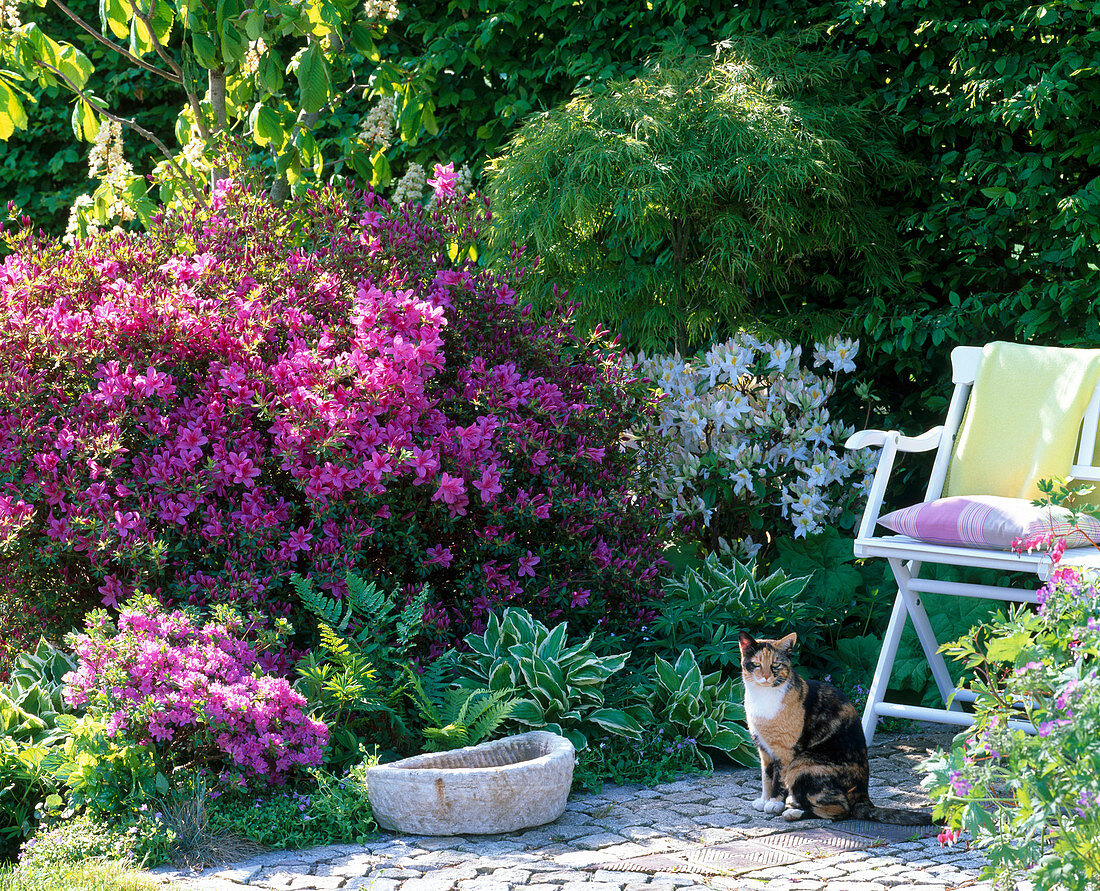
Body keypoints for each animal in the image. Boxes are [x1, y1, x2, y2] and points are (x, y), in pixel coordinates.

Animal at [743, 629, 932, 822]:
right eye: (756, 664)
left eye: (776, 664)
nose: (766, 676)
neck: (763, 697)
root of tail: (863, 797)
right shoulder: (763, 748)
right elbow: (766, 776)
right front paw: (763, 800)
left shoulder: (784, 752)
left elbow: (778, 780)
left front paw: (774, 803)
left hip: (802, 765)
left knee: (839, 810)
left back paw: (794, 812)